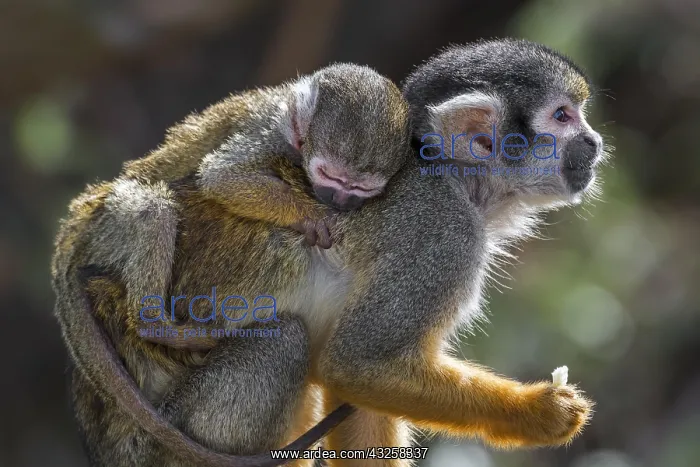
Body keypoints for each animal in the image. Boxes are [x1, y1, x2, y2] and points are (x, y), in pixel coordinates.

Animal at [51, 63, 410, 466]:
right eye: (330, 177)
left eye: (361, 190)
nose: (339, 201)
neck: (290, 112)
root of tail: (76, 226)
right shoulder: (270, 133)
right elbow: (222, 177)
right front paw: (311, 215)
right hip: (108, 227)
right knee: (152, 210)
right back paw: (157, 324)